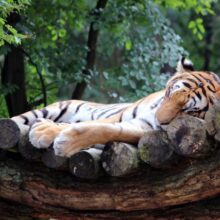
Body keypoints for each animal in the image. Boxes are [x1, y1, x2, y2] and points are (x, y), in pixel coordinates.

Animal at [9, 57, 220, 157]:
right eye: (169, 92)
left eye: (188, 110)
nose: (159, 119)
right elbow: (93, 123)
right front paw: (45, 130)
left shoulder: (141, 128)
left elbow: (106, 130)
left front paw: (65, 142)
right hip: (48, 109)